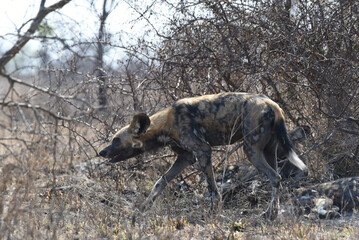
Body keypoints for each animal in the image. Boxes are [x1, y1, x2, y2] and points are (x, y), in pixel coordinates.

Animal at [100, 92, 308, 219]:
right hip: (269, 151)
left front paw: (214, 212)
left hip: (251, 150)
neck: (166, 123)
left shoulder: (203, 151)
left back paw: (269, 214)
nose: (101, 152)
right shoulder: (185, 158)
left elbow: (212, 190)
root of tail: (273, 105)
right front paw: (144, 207)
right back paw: (273, 212)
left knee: (275, 177)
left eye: (116, 140)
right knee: (277, 177)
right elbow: (160, 182)